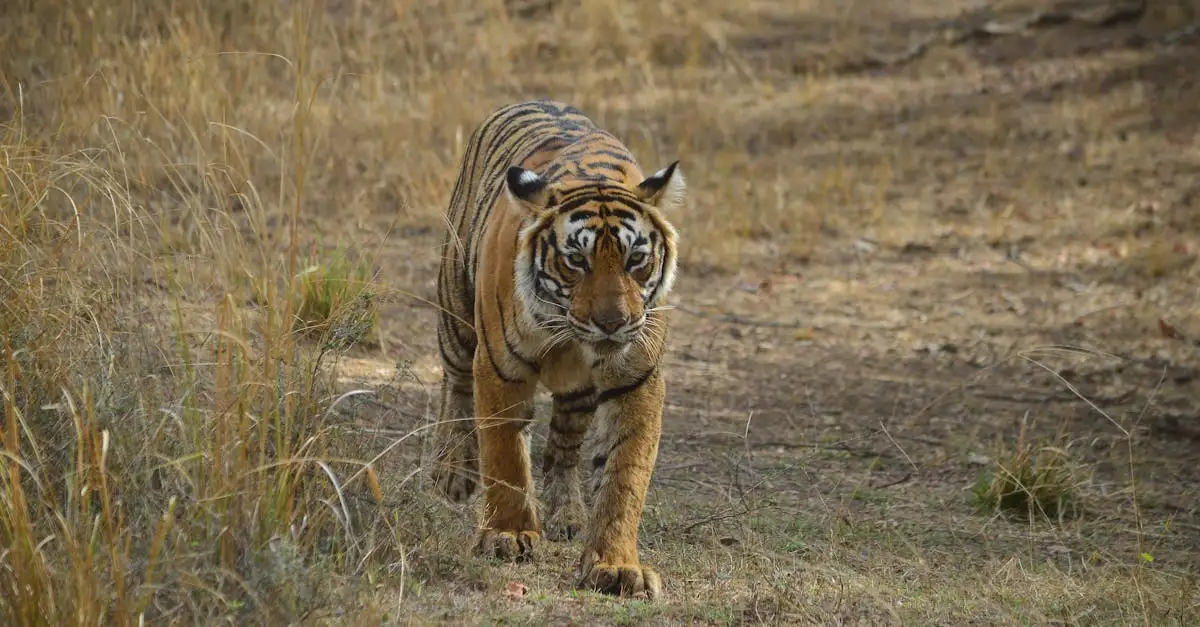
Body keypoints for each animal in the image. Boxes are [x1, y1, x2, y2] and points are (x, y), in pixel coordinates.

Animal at [429, 99, 684, 600]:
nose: (613, 323)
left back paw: (567, 514)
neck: (571, 335)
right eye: (576, 261)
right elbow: (505, 455)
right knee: (456, 386)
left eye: (635, 260)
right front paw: (507, 535)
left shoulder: (637, 379)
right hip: (457, 314)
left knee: (564, 449)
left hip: (579, 395)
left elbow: (624, 476)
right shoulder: (500, 367)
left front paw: (616, 565)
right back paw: (454, 472)